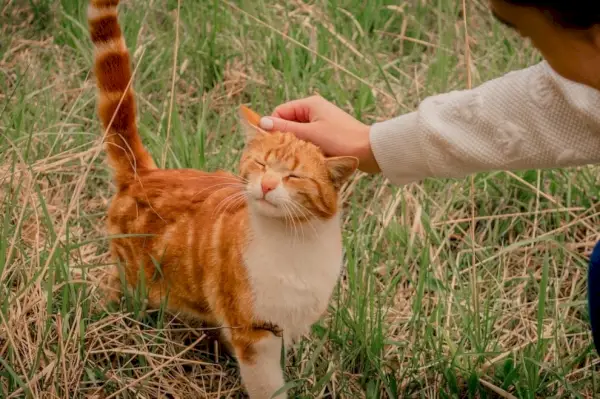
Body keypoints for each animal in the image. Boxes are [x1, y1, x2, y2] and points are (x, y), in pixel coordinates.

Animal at [88, 1, 356, 398]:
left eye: (293, 176)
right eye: (260, 163)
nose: (267, 185)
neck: (295, 243)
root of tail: (144, 173)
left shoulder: (289, 325)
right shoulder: (255, 333)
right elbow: (268, 386)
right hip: (134, 281)